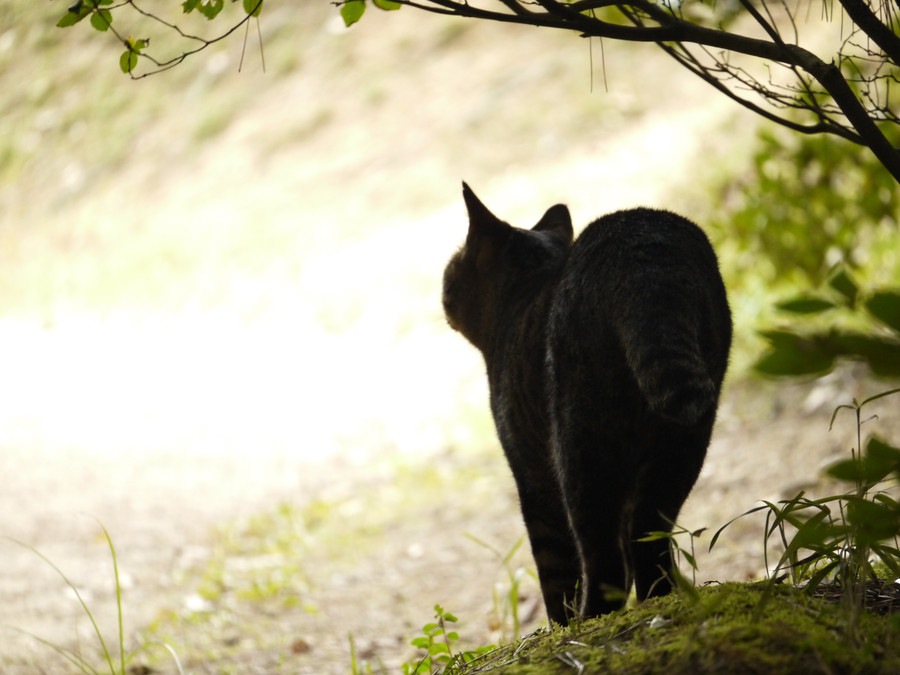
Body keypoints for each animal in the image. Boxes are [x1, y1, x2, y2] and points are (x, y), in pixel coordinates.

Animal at [442, 184, 732, 624]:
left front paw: (558, 626)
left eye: (455, 265)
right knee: (647, 539)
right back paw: (661, 602)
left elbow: (555, 570)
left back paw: (590, 620)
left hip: (581, 446)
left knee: (601, 556)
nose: (444, 287)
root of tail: (644, 258)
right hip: (683, 440)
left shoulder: (531, 472)